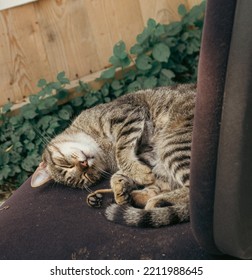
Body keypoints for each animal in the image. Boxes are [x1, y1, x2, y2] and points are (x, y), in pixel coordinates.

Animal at [31, 83, 196, 228]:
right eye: (87, 177)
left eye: (65, 164)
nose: (84, 165)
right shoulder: (148, 154)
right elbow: (120, 172)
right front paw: (121, 186)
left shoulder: (128, 115)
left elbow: (121, 150)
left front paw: (138, 175)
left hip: (171, 145)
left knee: (190, 194)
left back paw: (154, 202)